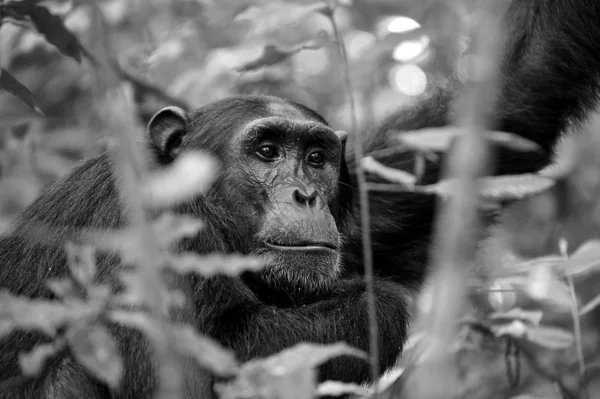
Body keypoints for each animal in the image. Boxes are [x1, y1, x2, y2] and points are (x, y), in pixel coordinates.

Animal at [0, 0, 596, 398]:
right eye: (266, 151)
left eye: (315, 157)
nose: (307, 194)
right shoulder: (134, 226)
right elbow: (192, 362)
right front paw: (378, 305)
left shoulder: (357, 202)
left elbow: (513, 101)